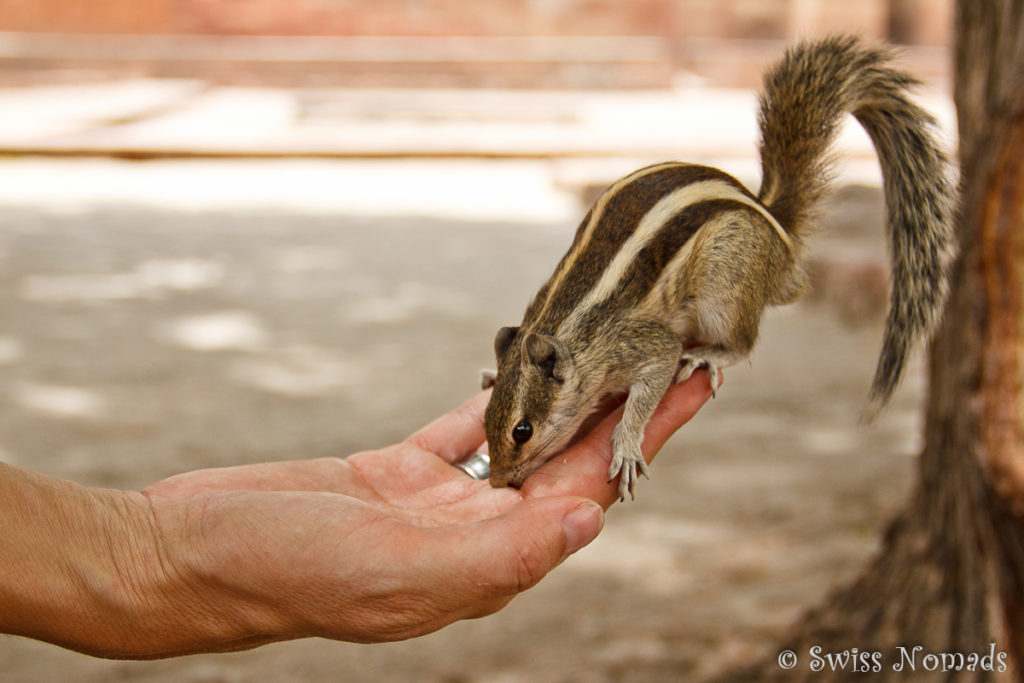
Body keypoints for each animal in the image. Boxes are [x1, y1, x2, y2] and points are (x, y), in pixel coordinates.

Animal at [477, 36, 950, 501]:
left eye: (522, 430)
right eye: (485, 421)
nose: (499, 482)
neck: (564, 325)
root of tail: (776, 229)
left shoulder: (640, 344)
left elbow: (654, 378)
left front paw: (627, 442)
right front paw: (490, 372)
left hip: (725, 280)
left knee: (744, 342)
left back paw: (710, 353)